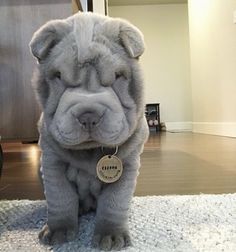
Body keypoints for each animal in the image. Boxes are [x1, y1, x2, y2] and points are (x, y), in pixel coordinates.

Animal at [28, 12, 148, 251]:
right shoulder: (52, 164)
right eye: (58, 76)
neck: (90, 152)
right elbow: (60, 198)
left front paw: (111, 236)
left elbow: (114, 202)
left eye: (118, 76)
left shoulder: (127, 167)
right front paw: (59, 230)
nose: (88, 115)